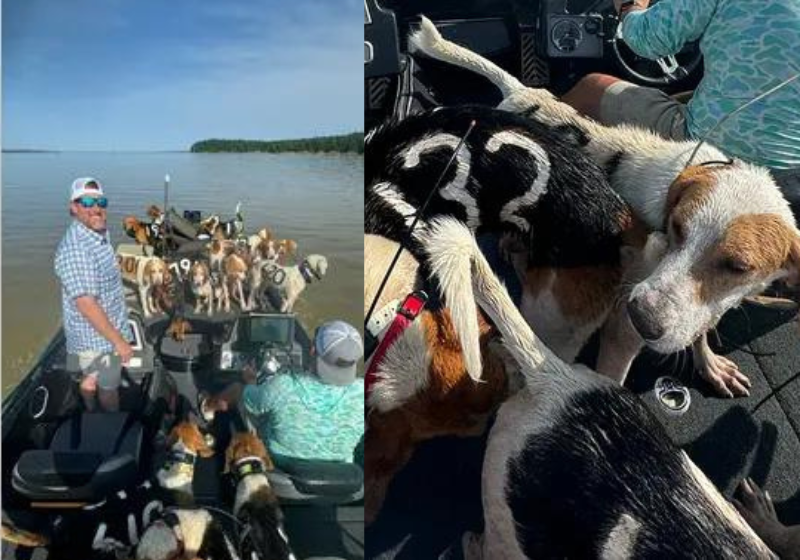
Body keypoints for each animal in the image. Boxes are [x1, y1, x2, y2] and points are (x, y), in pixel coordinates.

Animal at [410, 18, 796, 398]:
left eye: (738, 267)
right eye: (677, 227)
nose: (643, 317)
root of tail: (520, 90)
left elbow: (700, 327)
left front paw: (709, 363)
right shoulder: (622, 330)